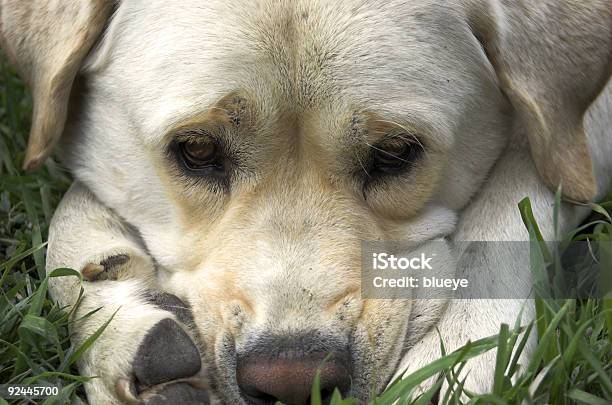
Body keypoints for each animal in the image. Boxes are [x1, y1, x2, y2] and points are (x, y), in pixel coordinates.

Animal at [1, 0, 612, 402]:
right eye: (196, 149)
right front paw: (117, 315)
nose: (294, 383)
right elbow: (70, 212)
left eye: (395, 152)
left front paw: (458, 359)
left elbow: (513, 202)